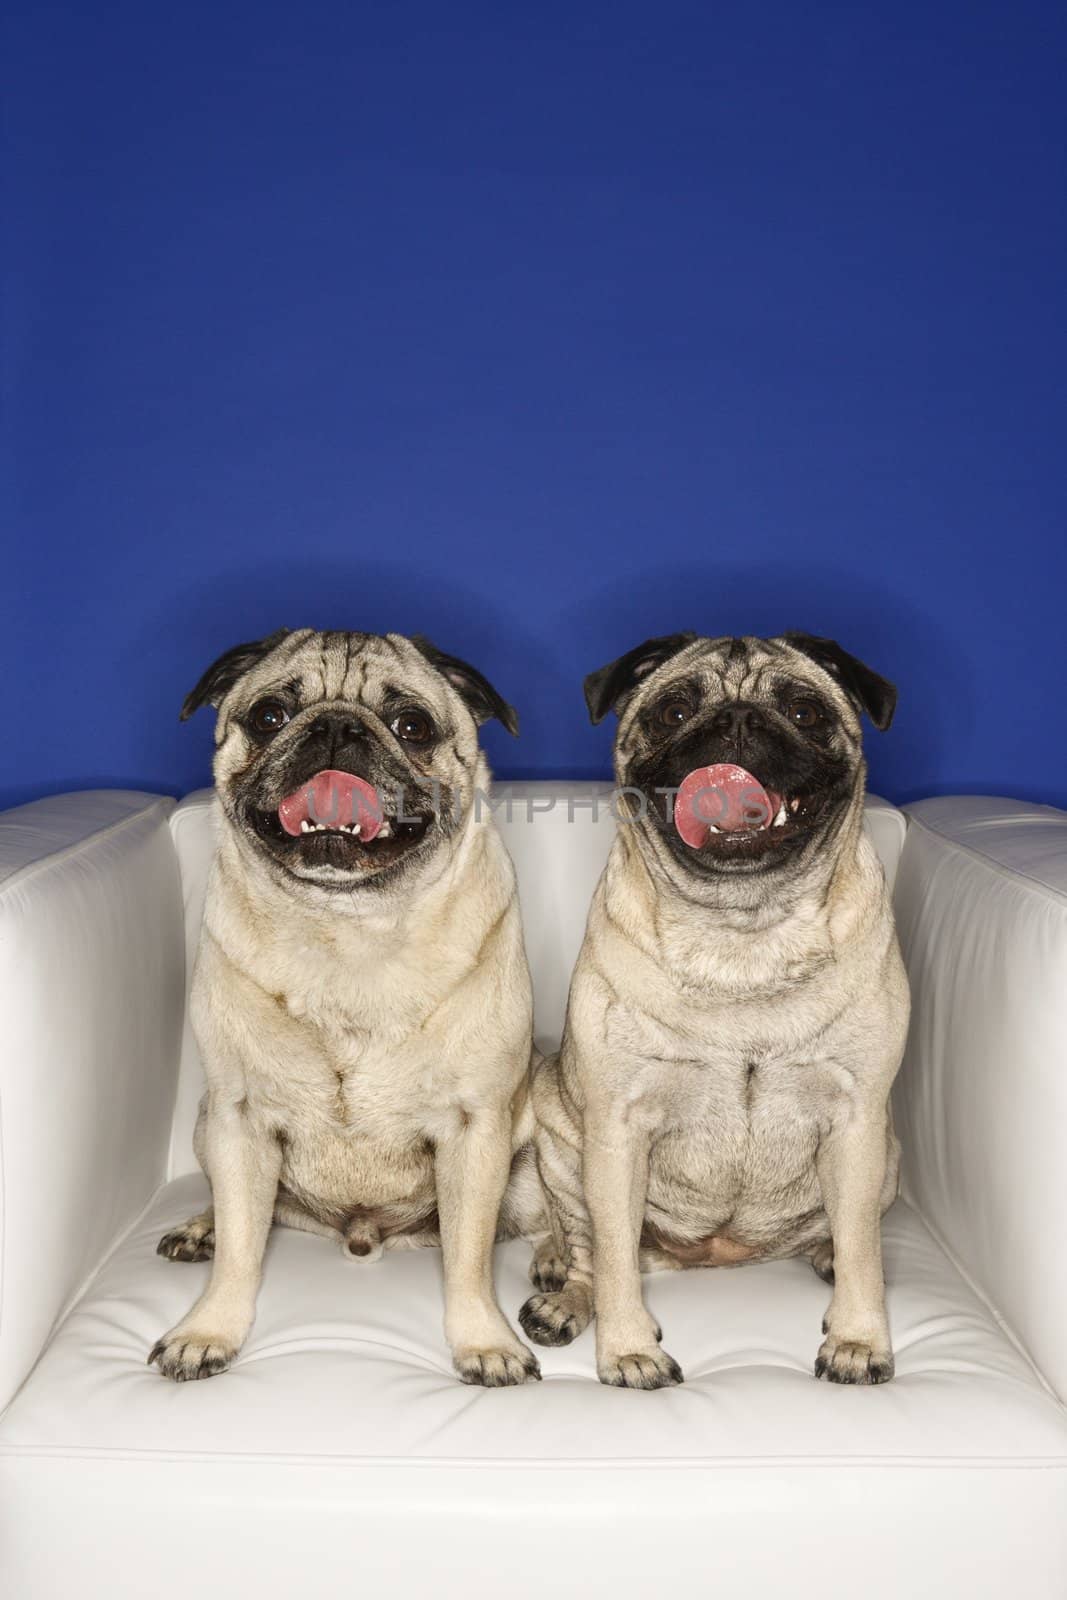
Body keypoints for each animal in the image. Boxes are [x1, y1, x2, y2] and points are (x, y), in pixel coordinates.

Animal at [147, 630, 550, 1382]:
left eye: (412, 725)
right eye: (270, 716)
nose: (335, 727)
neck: (348, 930)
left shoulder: (474, 1128)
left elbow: (470, 1260)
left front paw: (484, 1341)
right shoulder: (239, 1117)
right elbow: (242, 1249)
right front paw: (209, 1328)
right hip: (206, 1123)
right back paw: (201, 1229)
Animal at [521, 633, 908, 1388]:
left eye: (803, 710)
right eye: (674, 710)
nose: (736, 721)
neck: (743, 927)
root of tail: (717, 1251)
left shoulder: (856, 1121)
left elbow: (865, 1252)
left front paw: (858, 1337)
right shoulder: (616, 1130)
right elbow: (613, 1257)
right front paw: (627, 1349)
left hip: (889, 1156)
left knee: (848, 1234)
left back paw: (823, 1253)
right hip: (559, 1140)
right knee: (586, 1249)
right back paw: (563, 1299)